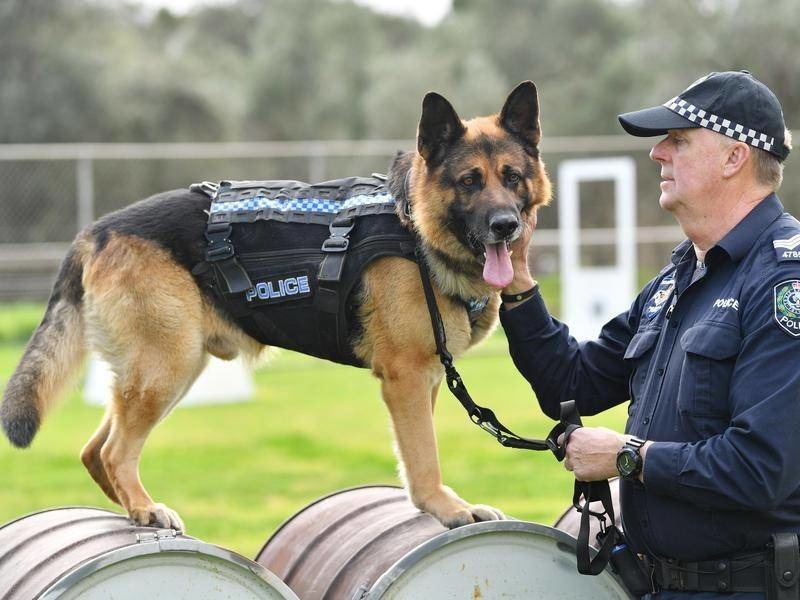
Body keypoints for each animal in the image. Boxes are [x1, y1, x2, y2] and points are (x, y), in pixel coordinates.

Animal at [1, 79, 552, 528]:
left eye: (512, 177)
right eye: (469, 181)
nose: (506, 226)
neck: (411, 221)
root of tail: (96, 231)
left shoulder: (427, 377)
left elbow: (418, 457)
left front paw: (432, 504)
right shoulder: (408, 378)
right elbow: (424, 454)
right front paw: (444, 508)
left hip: (164, 371)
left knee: (94, 451)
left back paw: (134, 510)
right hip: (167, 367)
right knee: (115, 452)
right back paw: (146, 509)